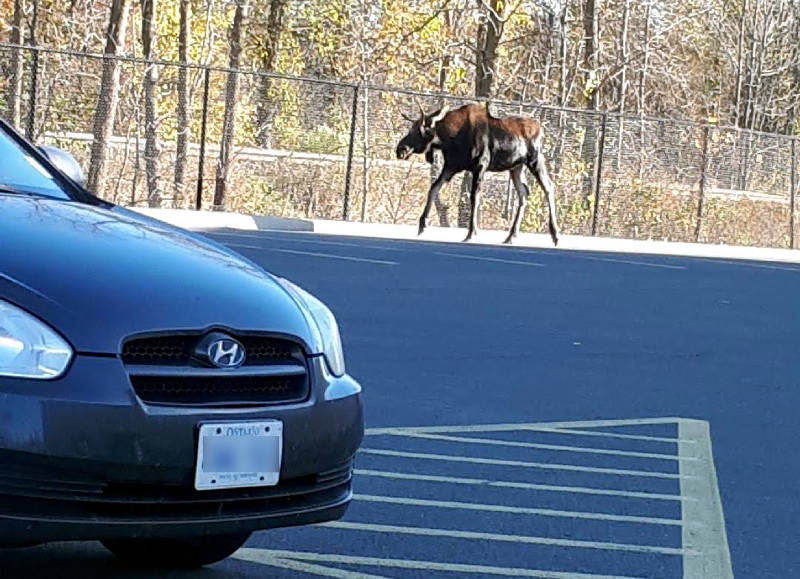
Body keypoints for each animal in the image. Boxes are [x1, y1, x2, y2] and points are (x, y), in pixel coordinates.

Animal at [395, 102, 559, 246]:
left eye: (417, 132)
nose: (400, 149)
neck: (449, 139)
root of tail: (541, 129)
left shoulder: (480, 165)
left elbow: (474, 198)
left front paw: (471, 233)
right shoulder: (450, 167)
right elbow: (434, 188)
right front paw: (422, 225)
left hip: (535, 160)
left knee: (548, 187)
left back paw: (555, 234)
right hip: (516, 167)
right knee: (524, 192)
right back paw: (511, 236)